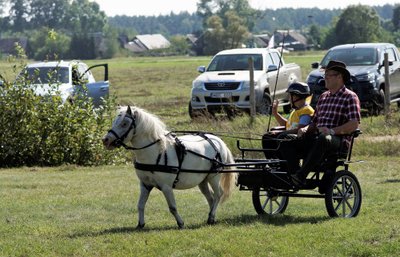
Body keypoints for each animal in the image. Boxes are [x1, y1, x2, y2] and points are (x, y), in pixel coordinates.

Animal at [101, 106, 238, 228]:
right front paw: (140, 224)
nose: (105, 140)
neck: (156, 151)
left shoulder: (166, 187)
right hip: (202, 180)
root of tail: (218, 141)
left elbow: (172, 207)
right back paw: (211, 217)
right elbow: (140, 205)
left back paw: (211, 217)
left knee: (218, 194)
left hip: (214, 176)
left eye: (124, 123)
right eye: (114, 121)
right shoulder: (145, 185)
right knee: (211, 197)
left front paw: (181, 223)